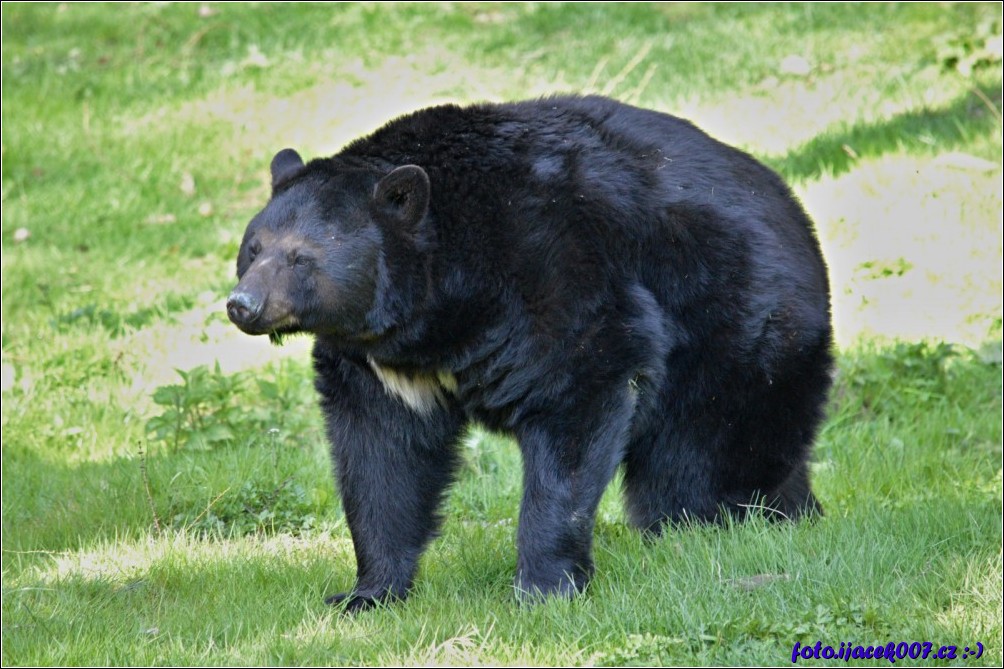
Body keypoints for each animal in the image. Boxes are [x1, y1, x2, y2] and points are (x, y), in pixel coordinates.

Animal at [227, 92, 831, 610]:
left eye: (299, 257)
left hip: (735, 326)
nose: (242, 304)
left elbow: (580, 393)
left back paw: (711, 528)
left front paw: (544, 586)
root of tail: (794, 209)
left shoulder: (550, 271)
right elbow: (381, 455)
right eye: (253, 248)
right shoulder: (377, 365)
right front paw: (367, 592)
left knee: (698, 463)